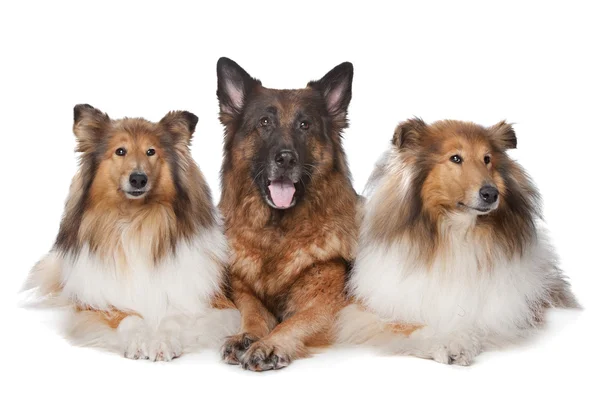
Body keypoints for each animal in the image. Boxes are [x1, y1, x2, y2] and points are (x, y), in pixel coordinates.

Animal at [24, 104, 239, 360]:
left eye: (151, 151)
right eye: (120, 151)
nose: (138, 179)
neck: (136, 221)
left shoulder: (211, 301)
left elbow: (175, 315)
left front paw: (163, 341)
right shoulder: (96, 301)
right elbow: (126, 316)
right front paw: (139, 341)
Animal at [216, 57, 356, 370]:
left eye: (305, 125)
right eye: (264, 122)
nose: (286, 159)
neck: (277, 232)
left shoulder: (326, 306)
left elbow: (293, 323)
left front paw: (269, 344)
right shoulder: (243, 291)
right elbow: (253, 312)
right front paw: (246, 335)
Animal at [336, 119, 580, 366]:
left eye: (487, 159)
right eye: (455, 158)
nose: (491, 194)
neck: (457, 233)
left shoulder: (505, 310)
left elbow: (477, 321)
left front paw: (461, 342)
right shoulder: (365, 309)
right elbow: (410, 325)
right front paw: (445, 343)